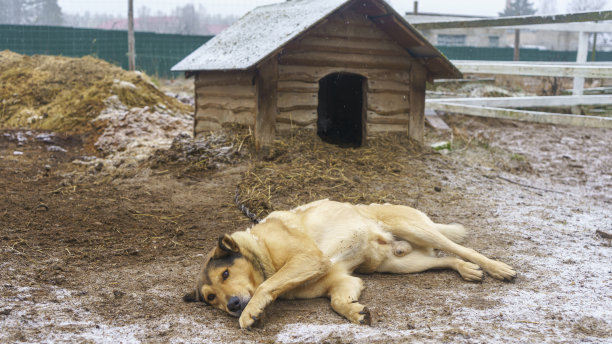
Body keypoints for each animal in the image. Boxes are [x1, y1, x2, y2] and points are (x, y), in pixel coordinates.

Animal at [183, 199, 516, 328]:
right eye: (211, 298)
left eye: (226, 273)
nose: (232, 306)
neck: (261, 250)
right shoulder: (343, 280)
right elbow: (337, 302)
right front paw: (356, 312)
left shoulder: (309, 258)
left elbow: (266, 285)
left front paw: (251, 311)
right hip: (400, 264)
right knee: (445, 257)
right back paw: (466, 270)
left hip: (415, 229)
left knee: (462, 248)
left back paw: (497, 268)